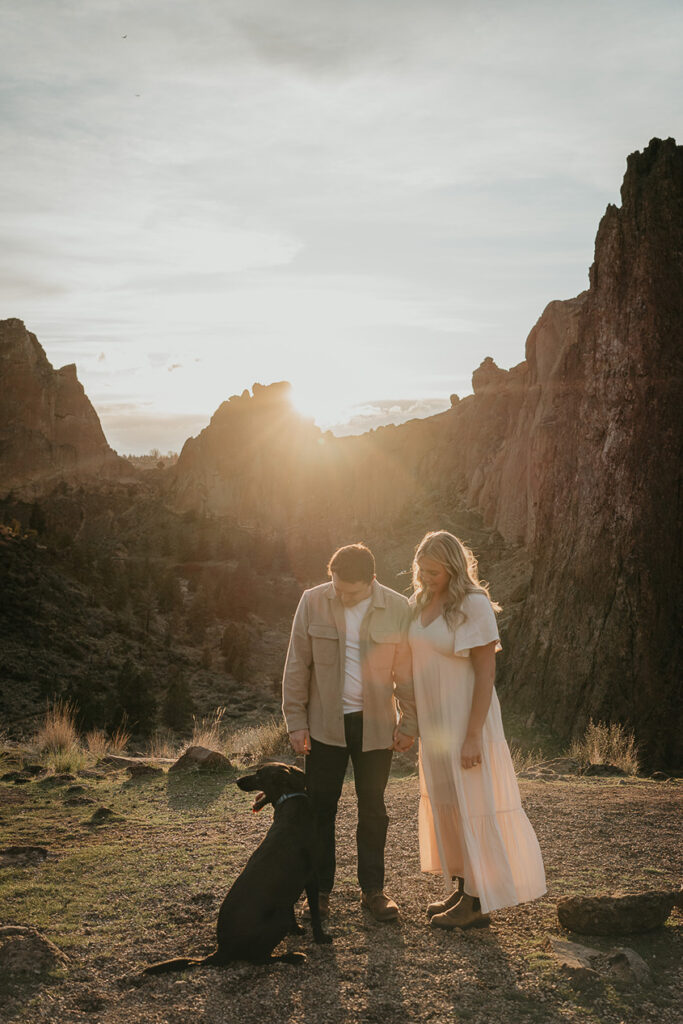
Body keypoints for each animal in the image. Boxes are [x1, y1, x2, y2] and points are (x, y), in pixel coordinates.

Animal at [143, 765, 331, 970]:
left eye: (259, 774)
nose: (237, 781)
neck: (290, 799)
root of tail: (221, 950)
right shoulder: (310, 878)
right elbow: (314, 913)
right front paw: (320, 937)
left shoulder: (291, 886)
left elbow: (294, 911)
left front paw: (296, 929)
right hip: (278, 919)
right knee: (259, 958)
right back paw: (292, 957)